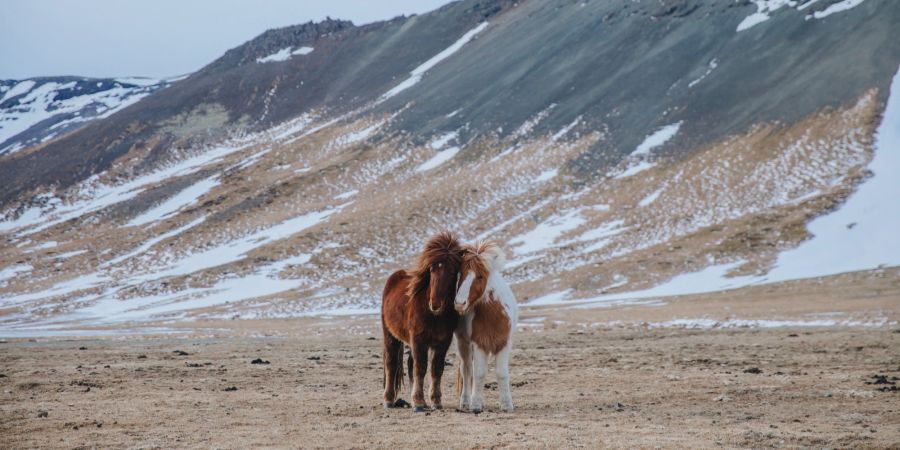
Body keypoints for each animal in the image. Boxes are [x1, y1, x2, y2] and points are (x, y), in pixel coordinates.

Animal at [382, 232, 464, 412]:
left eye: (453, 271)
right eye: (432, 269)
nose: (435, 304)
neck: (434, 316)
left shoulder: (443, 341)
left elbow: (436, 369)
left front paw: (435, 401)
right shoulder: (418, 340)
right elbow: (420, 368)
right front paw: (418, 403)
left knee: (409, 363)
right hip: (390, 335)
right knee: (391, 363)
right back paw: (389, 400)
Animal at [454, 241, 516, 414]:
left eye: (480, 276)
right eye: (461, 274)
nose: (459, 303)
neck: (493, 315)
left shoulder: (503, 343)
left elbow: (502, 373)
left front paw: (506, 404)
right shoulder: (479, 343)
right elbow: (479, 373)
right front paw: (475, 405)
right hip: (463, 343)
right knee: (467, 369)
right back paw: (466, 401)